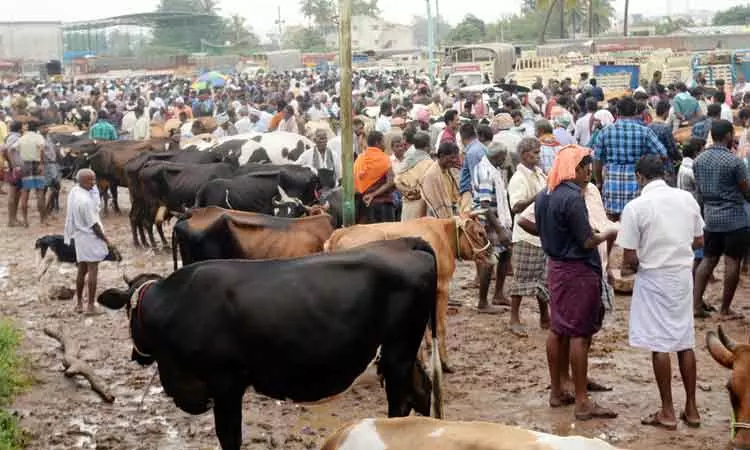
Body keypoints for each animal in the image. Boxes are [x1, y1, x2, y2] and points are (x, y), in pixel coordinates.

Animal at [97, 237, 444, 448]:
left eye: (129, 314)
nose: (136, 356)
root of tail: (404, 242)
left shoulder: (226, 383)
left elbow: (229, 436)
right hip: (402, 352)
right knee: (421, 390)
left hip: (398, 351)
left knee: (400, 403)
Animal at [326, 214, 496, 372]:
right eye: (480, 233)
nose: (493, 256)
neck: (444, 235)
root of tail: (338, 234)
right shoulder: (442, 287)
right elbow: (440, 326)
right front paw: (445, 363)